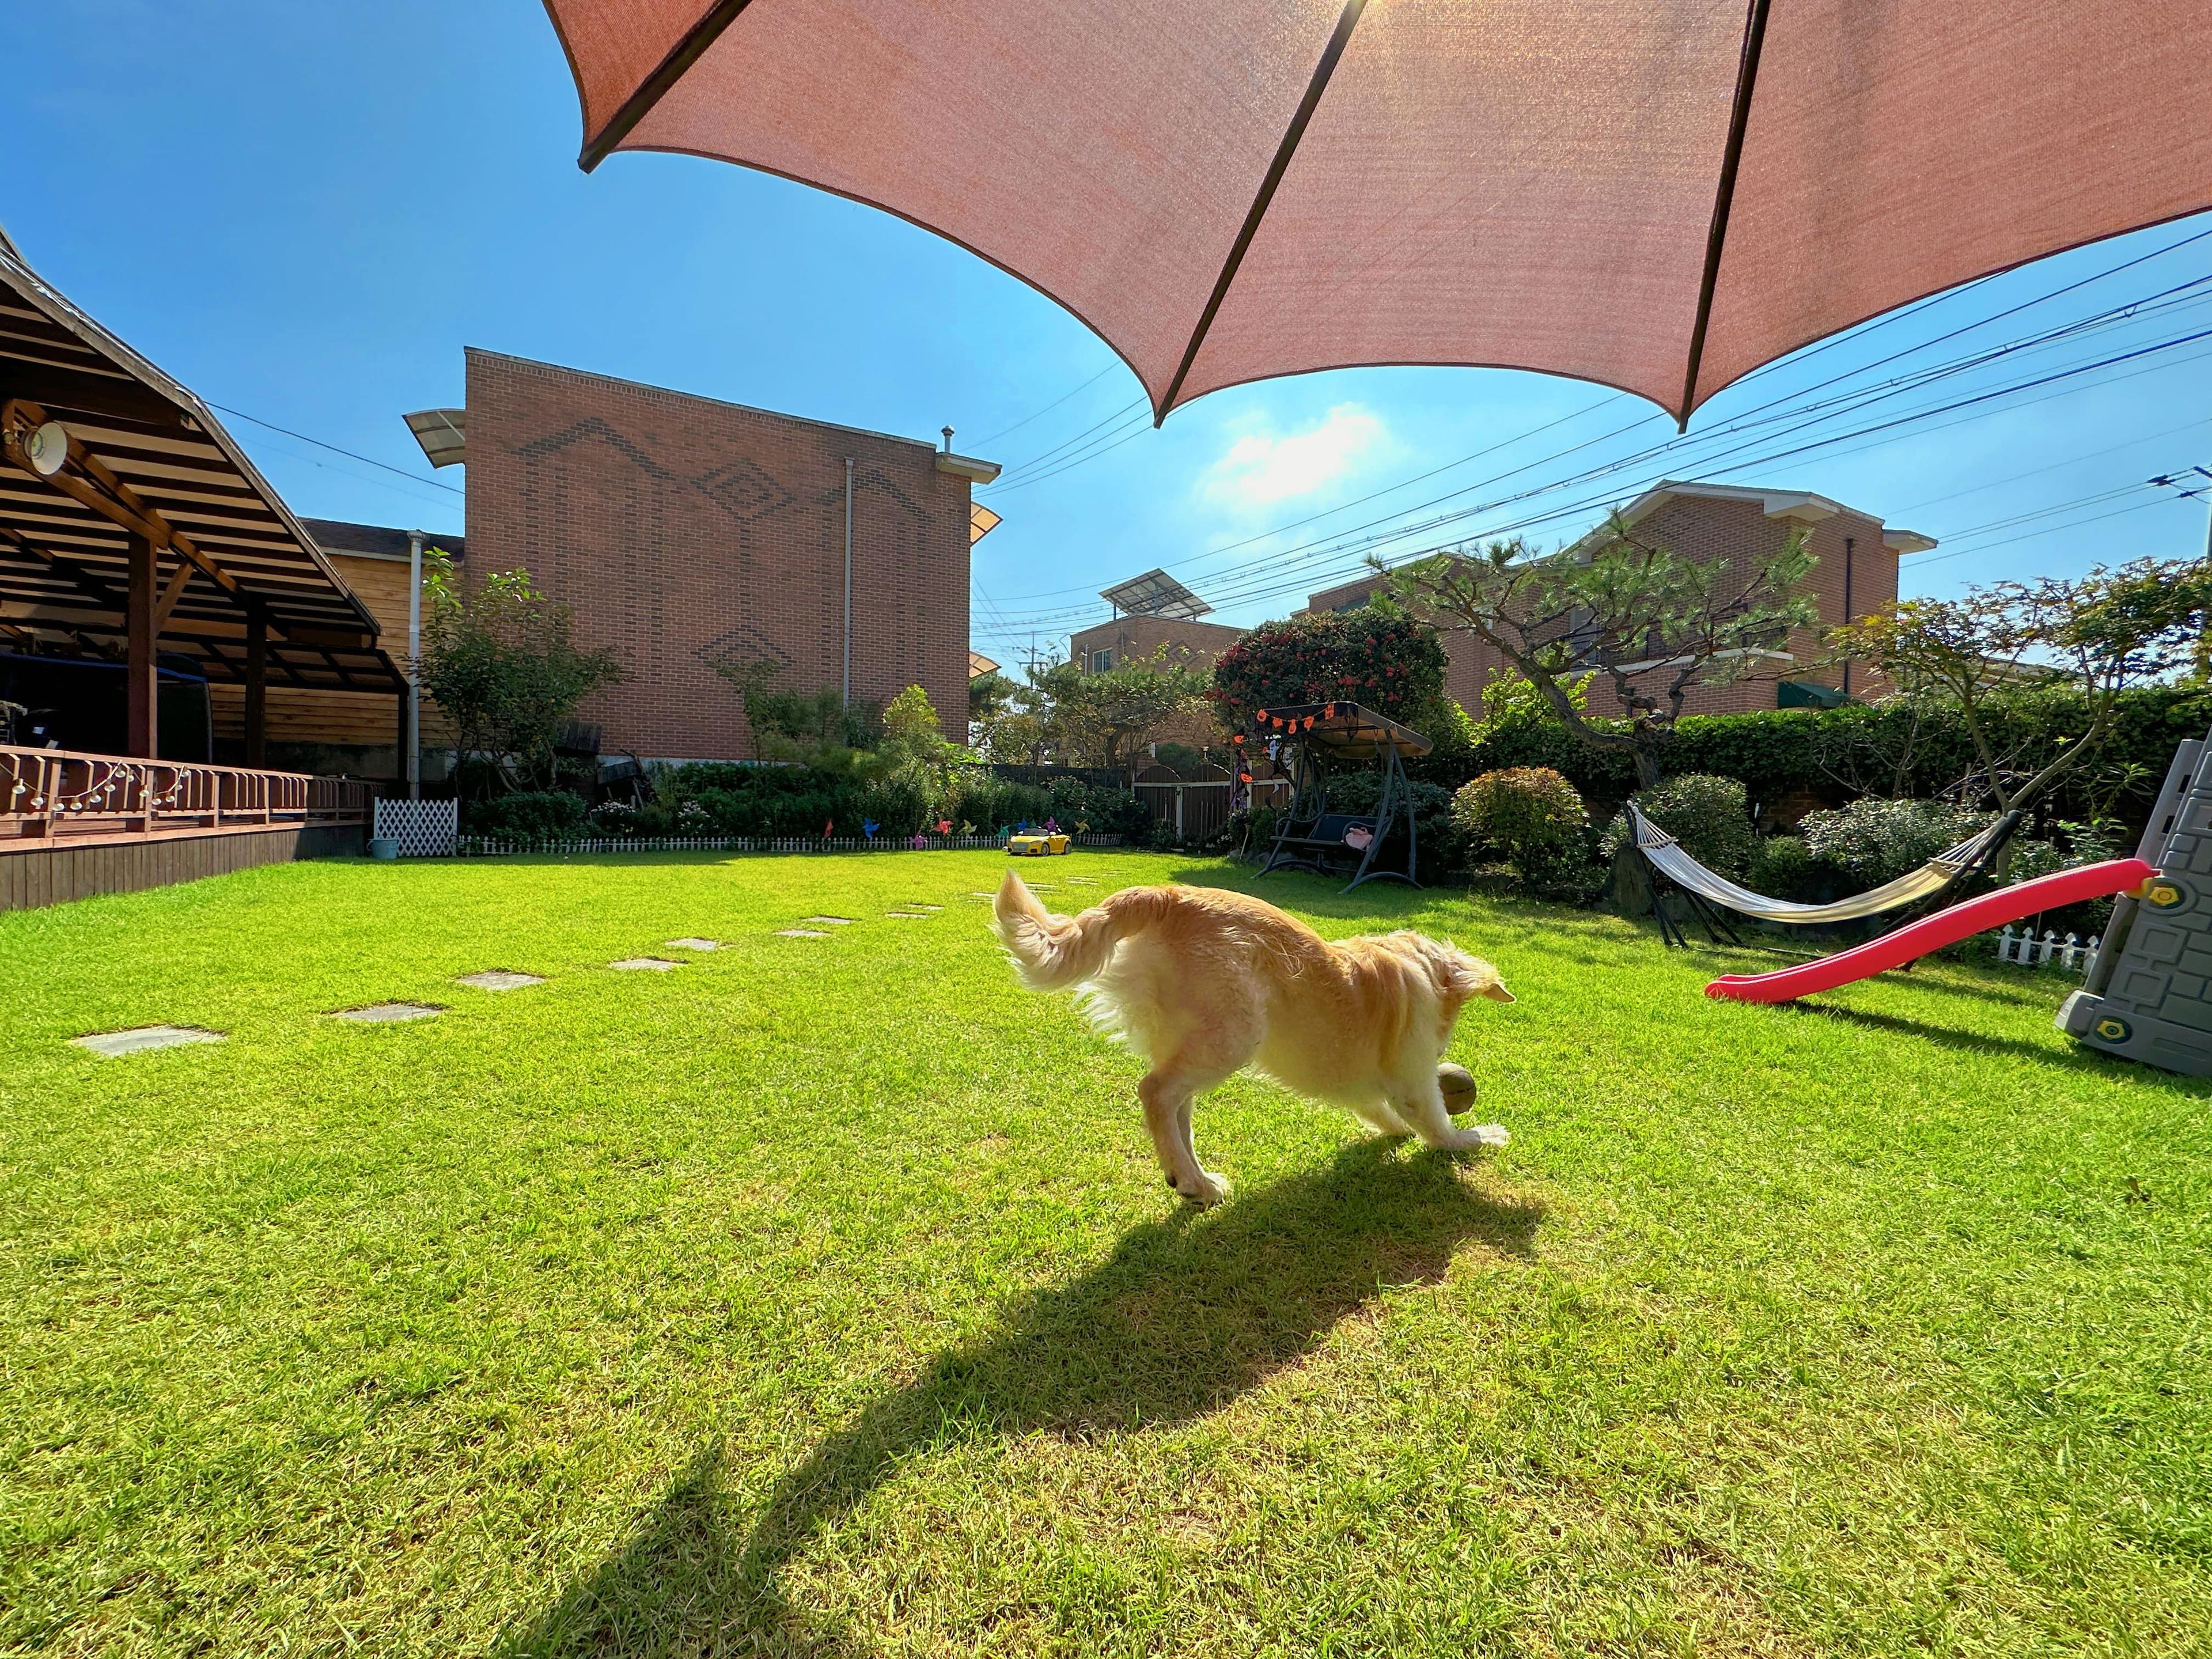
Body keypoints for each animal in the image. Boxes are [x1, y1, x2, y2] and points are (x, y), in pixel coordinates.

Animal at [995, 871, 1513, 1212]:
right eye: (1448, 1023)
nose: (1444, 1056)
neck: (1418, 964)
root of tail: (1167, 896)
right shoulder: (1415, 1082)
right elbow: (1439, 1127)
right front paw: (1479, 1136)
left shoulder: (1369, 1089)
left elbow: (1384, 1113)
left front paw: (1398, 1132)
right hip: (1235, 1036)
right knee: (1155, 1091)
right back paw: (1190, 1180)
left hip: (1192, 1038)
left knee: (1177, 1109)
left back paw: (1196, 1179)